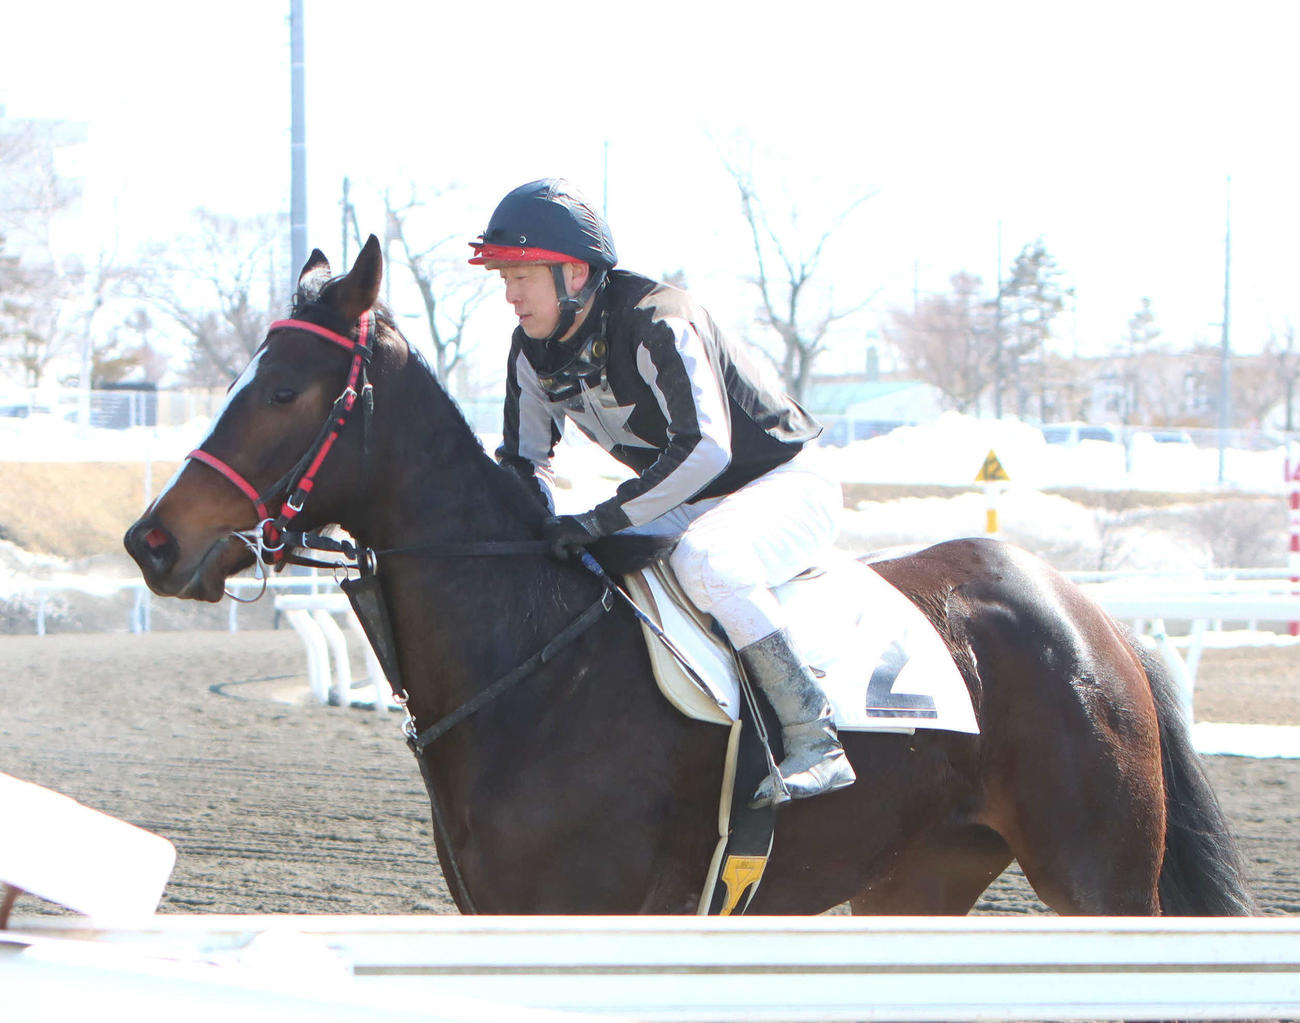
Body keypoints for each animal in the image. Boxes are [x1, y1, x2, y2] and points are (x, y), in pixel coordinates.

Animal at [124, 236, 1255, 917]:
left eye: (281, 389)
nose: (152, 542)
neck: (530, 668)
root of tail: (1087, 613)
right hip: (922, 876)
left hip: (1101, 874)